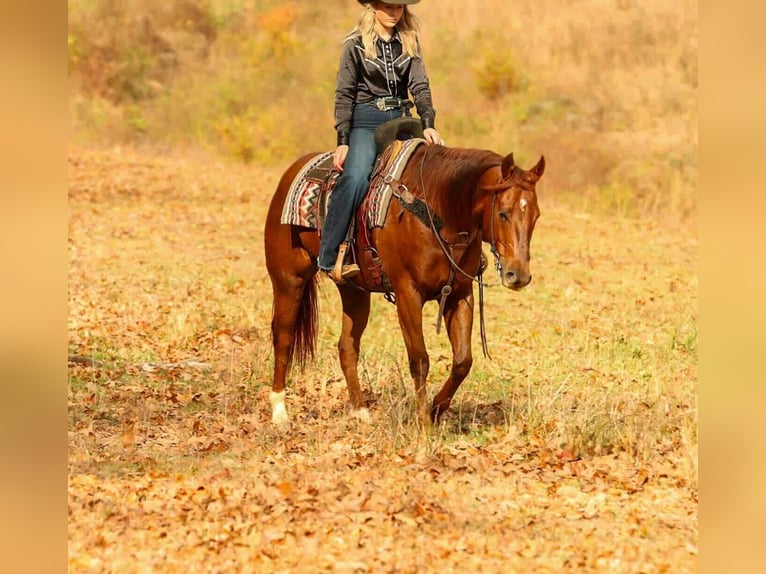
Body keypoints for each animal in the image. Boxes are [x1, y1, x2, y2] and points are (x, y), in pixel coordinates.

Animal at [264, 134, 544, 426]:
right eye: (503, 213)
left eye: (536, 215)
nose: (518, 275)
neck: (436, 209)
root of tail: (292, 172)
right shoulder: (408, 294)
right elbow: (419, 360)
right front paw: (423, 424)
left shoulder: (459, 293)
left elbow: (462, 361)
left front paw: (436, 410)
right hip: (289, 281)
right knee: (283, 336)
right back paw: (280, 412)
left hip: (354, 291)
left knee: (347, 347)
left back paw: (360, 411)